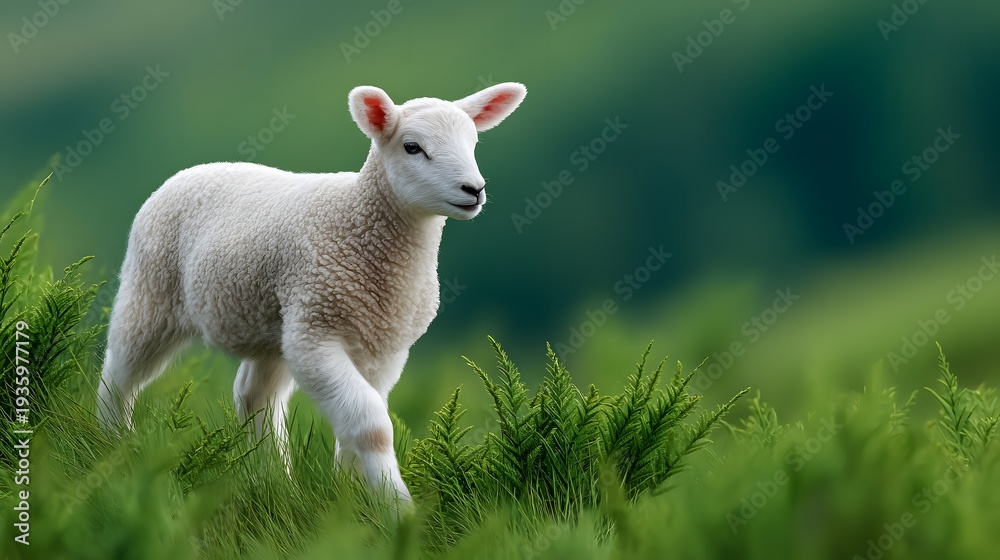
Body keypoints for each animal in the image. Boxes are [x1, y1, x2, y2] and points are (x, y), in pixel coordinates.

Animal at [97, 82, 527, 505]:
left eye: (473, 142)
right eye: (412, 147)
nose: (474, 189)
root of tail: (194, 169)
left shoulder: (384, 346)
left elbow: (356, 429)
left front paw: (351, 496)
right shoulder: (316, 334)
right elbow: (372, 426)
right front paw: (398, 511)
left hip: (271, 325)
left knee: (255, 396)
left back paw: (275, 481)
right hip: (152, 291)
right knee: (120, 374)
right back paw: (112, 448)